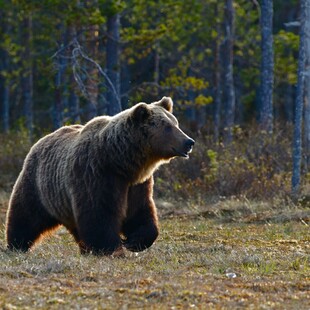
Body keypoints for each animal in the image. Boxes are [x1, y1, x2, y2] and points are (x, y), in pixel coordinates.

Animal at [5, 97, 194, 254]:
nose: (189, 142)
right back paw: (16, 245)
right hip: (39, 185)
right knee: (25, 215)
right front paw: (111, 247)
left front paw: (133, 241)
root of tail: (41, 139)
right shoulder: (96, 174)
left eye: (176, 123)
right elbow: (99, 213)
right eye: (167, 127)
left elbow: (140, 212)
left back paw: (84, 248)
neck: (121, 162)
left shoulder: (136, 184)